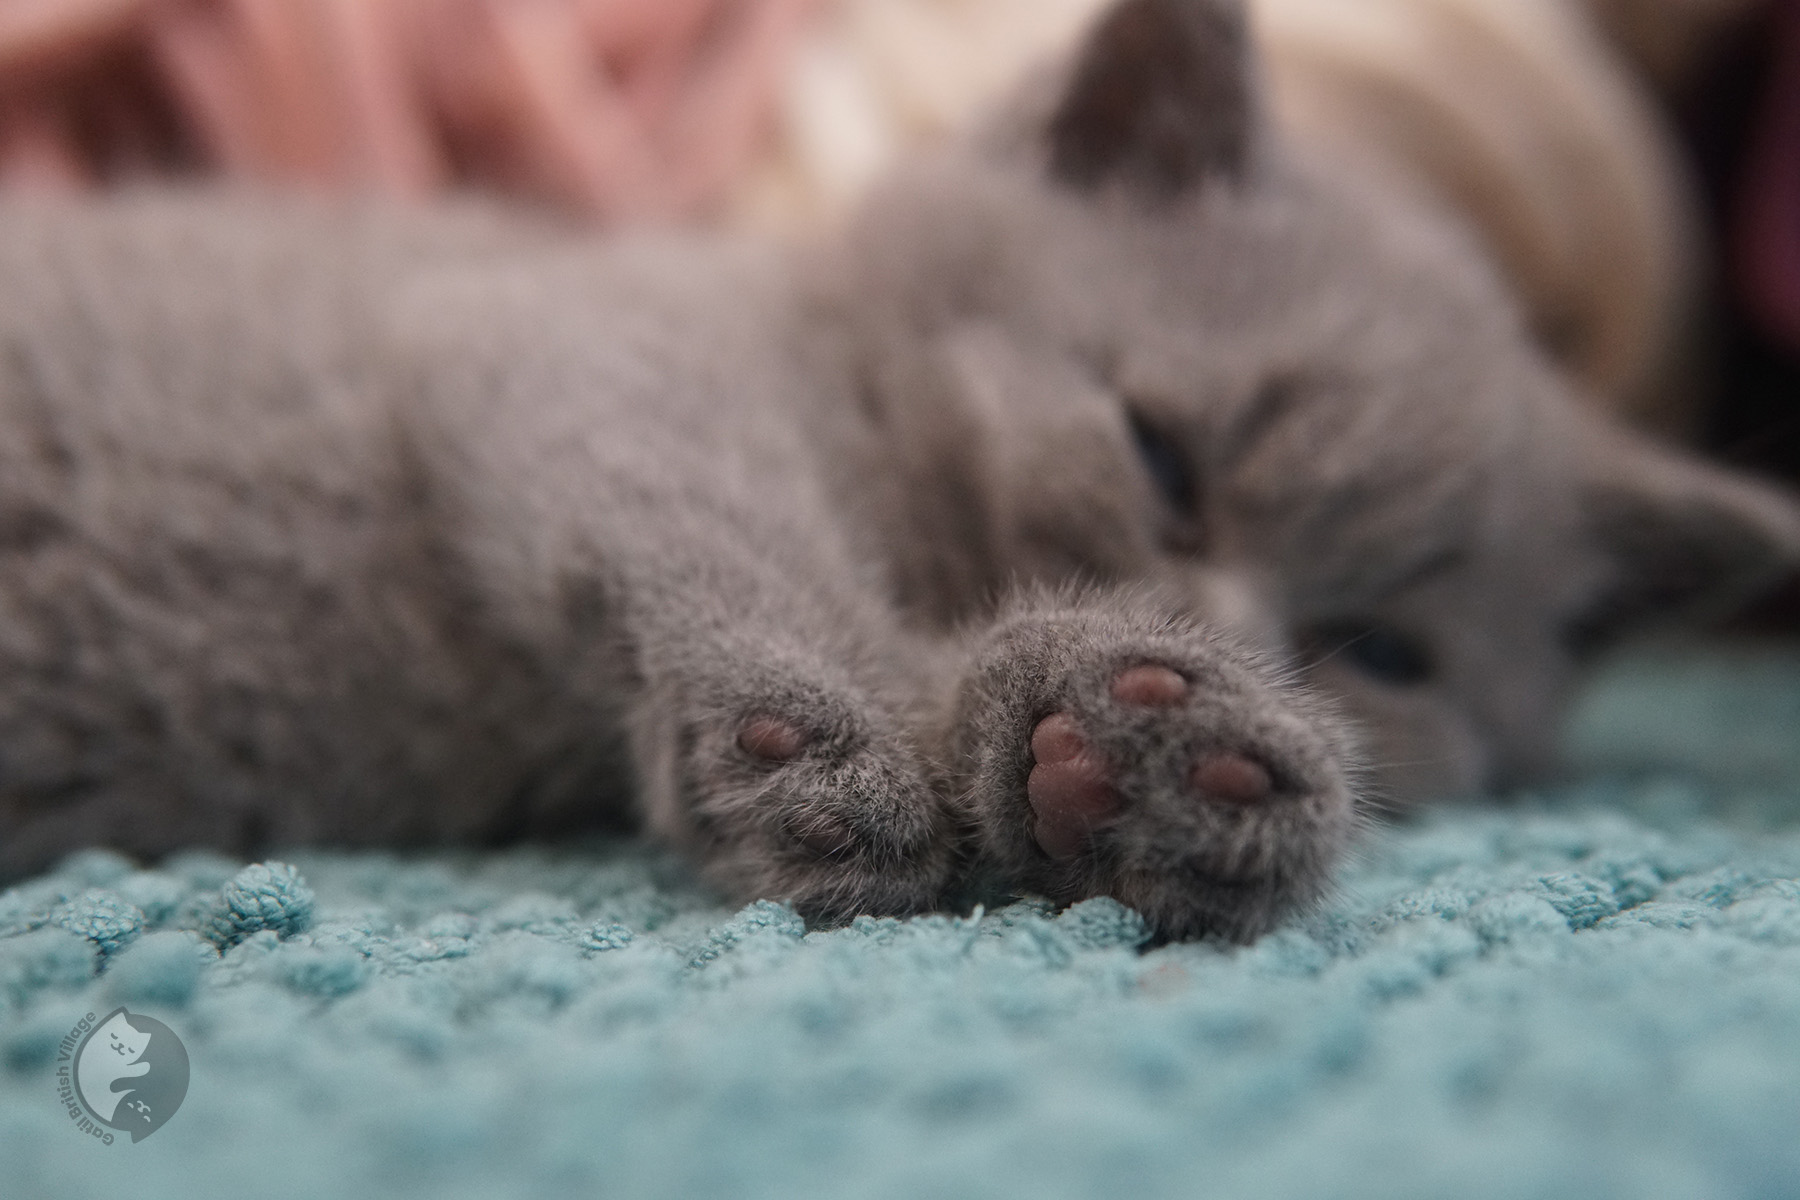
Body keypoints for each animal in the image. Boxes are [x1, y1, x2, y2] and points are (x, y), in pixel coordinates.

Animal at [3, 0, 1800, 935]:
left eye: (1382, 653)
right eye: (1163, 459)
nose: (1232, 637)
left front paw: (1123, 751)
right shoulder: (563, 345)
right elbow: (718, 527)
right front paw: (858, 737)